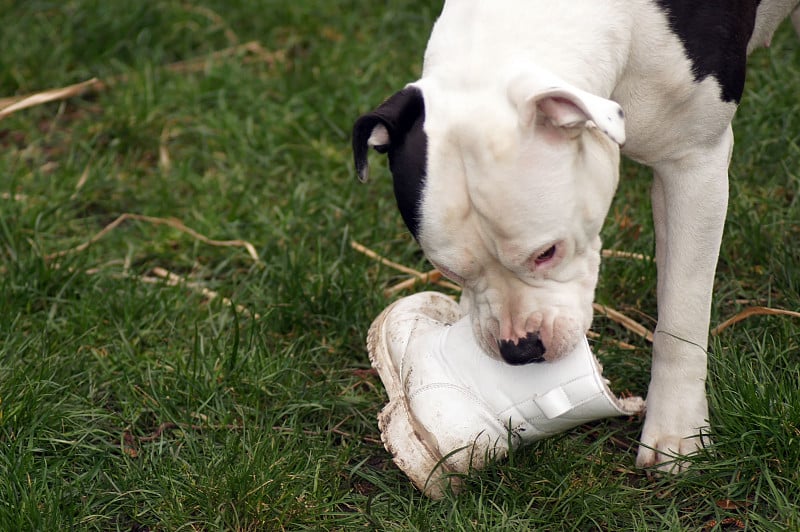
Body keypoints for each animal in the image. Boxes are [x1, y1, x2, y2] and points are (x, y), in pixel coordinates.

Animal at [354, 2, 800, 472]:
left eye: (547, 253)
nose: (519, 349)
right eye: (448, 271)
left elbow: (681, 315)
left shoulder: (694, 162)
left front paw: (676, 430)